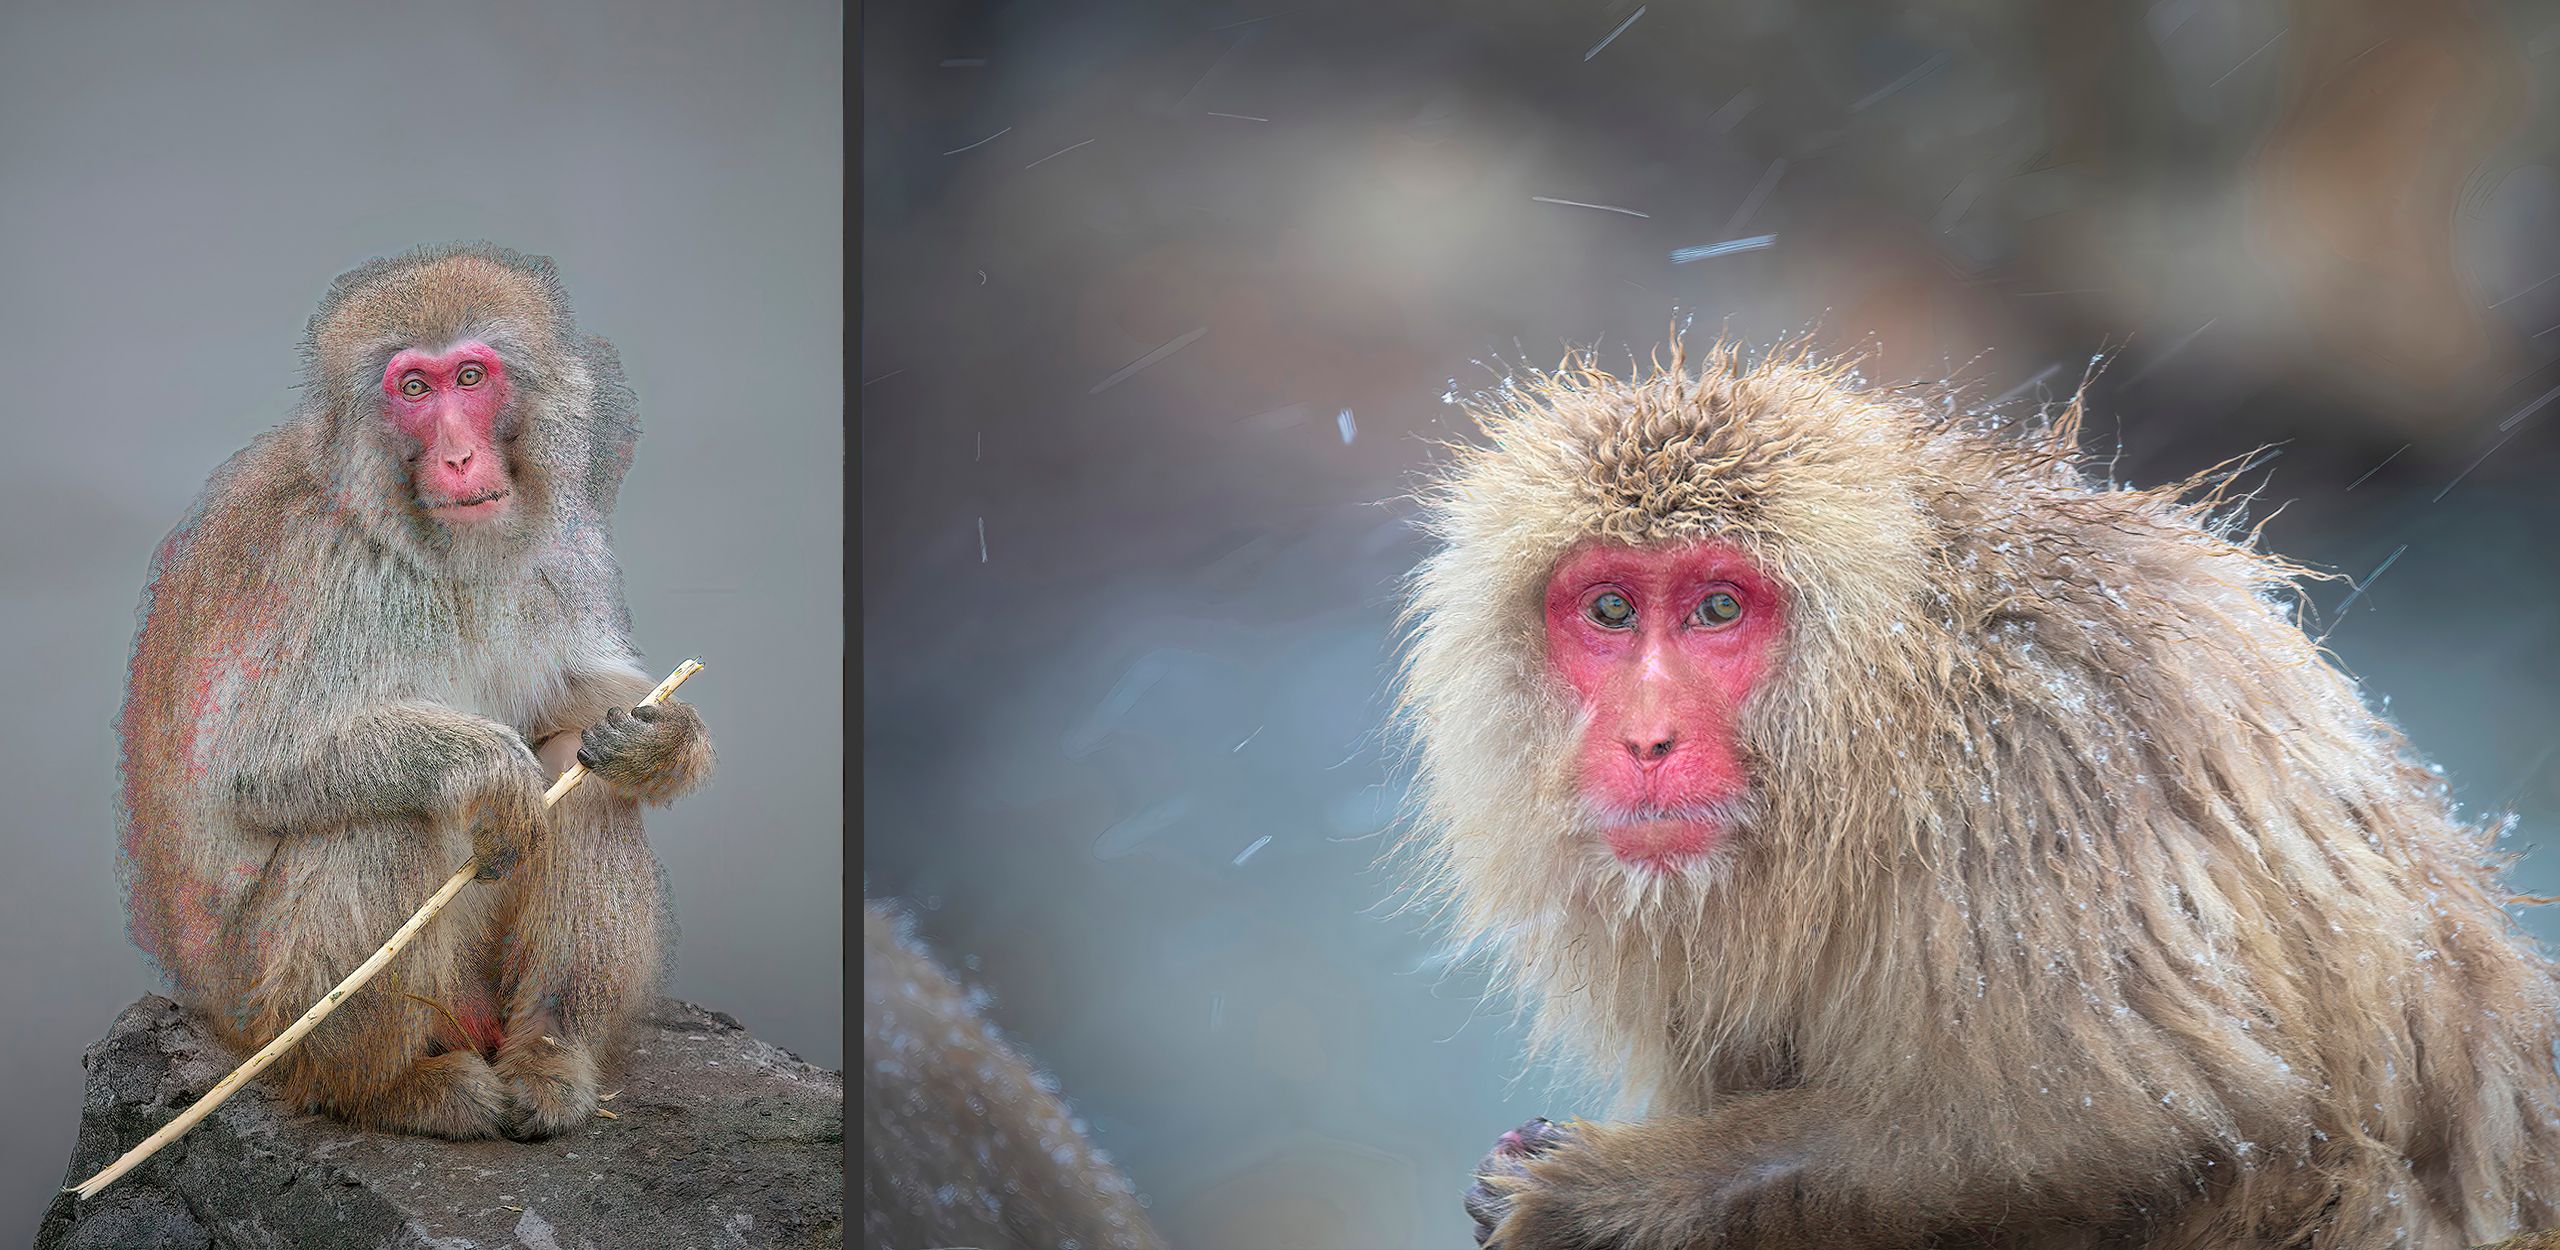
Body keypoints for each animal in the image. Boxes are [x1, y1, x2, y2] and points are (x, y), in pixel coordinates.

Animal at [115, 242, 715, 1143]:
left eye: (469, 377)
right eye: (414, 390)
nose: (460, 457)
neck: (416, 537)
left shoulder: (558, 549)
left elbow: (569, 702)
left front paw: (666, 739)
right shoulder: (319, 567)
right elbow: (250, 768)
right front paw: (488, 766)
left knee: (582, 779)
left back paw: (549, 1053)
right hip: (265, 1003)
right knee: (383, 820)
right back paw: (383, 1090)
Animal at [1392, 339, 2560, 1249]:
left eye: (1717, 607)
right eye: (1609, 610)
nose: (1645, 737)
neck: (1895, 710)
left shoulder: (2042, 768)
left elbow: (2143, 1125)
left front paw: (1591, 1200)